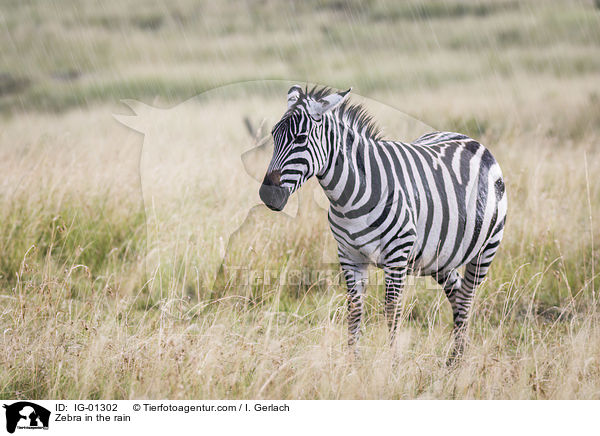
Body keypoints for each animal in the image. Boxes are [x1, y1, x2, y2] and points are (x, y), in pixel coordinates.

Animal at [260, 84, 508, 358]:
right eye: (273, 136)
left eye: (301, 138)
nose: (266, 195)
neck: (349, 199)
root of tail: (467, 137)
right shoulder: (349, 256)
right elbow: (354, 309)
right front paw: (352, 362)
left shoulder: (397, 256)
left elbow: (392, 311)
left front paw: (391, 363)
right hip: (439, 256)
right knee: (456, 293)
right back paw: (454, 358)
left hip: (486, 249)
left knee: (466, 297)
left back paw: (458, 360)